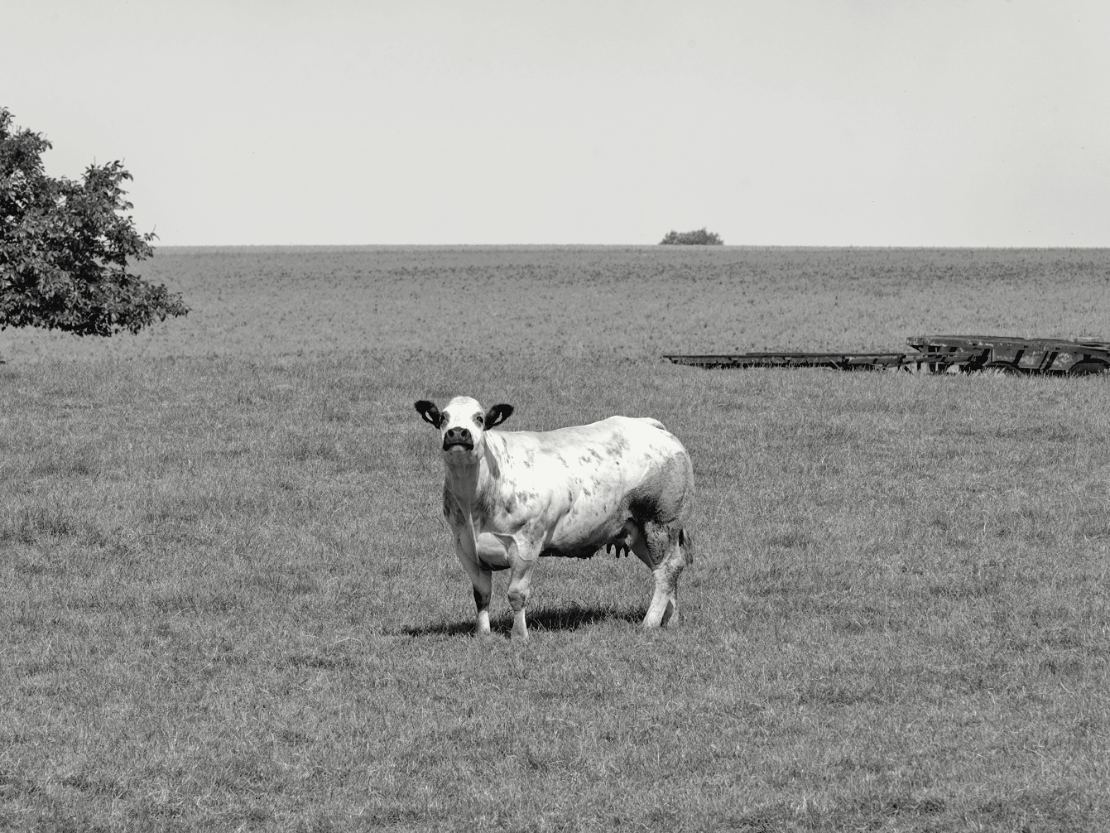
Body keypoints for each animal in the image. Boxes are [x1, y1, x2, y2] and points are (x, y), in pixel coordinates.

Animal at [414, 395, 695, 640]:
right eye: (443, 418)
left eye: (479, 418)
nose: (457, 433)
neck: (476, 501)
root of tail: (650, 425)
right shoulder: (465, 547)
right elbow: (481, 594)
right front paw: (482, 634)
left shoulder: (526, 543)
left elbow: (516, 594)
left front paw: (519, 635)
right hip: (637, 531)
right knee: (666, 571)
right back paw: (670, 620)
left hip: (660, 521)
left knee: (668, 569)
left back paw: (649, 622)